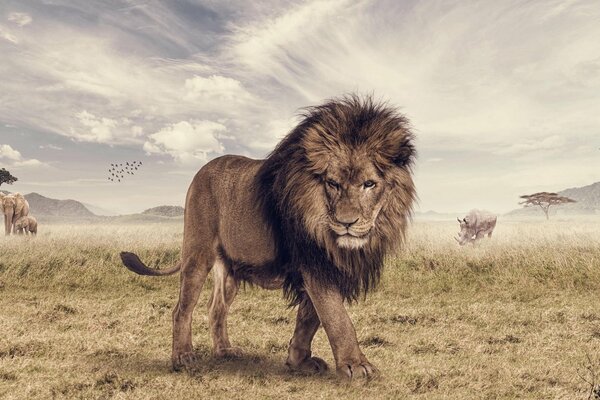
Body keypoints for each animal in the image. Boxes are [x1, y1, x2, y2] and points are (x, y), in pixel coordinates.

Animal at [119, 95, 414, 380]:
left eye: (369, 184)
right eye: (332, 183)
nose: (346, 223)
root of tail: (203, 169)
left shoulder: (322, 265)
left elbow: (309, 318)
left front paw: (298, 361)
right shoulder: (313, 261)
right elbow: (336, 317)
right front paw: (355, 365)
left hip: (230, 271)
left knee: (216, 308)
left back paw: (225, 351)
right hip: (197, 253)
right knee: (182, 308)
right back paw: (182, 357)